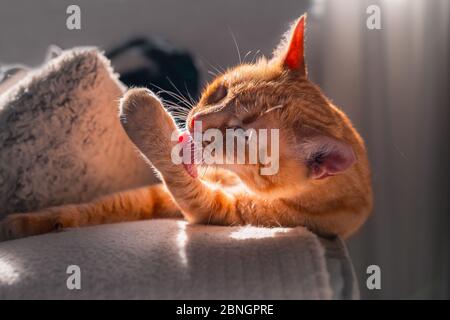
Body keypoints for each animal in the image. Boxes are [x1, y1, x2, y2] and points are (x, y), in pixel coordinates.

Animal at [0, 15, 372, 240]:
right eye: (220, 92)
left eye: (243, 135)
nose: (195, 121)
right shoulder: (154, 195)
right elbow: (98, 207)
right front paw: (27, 222)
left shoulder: (218, 210)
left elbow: (177, 173)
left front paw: (140, 110)